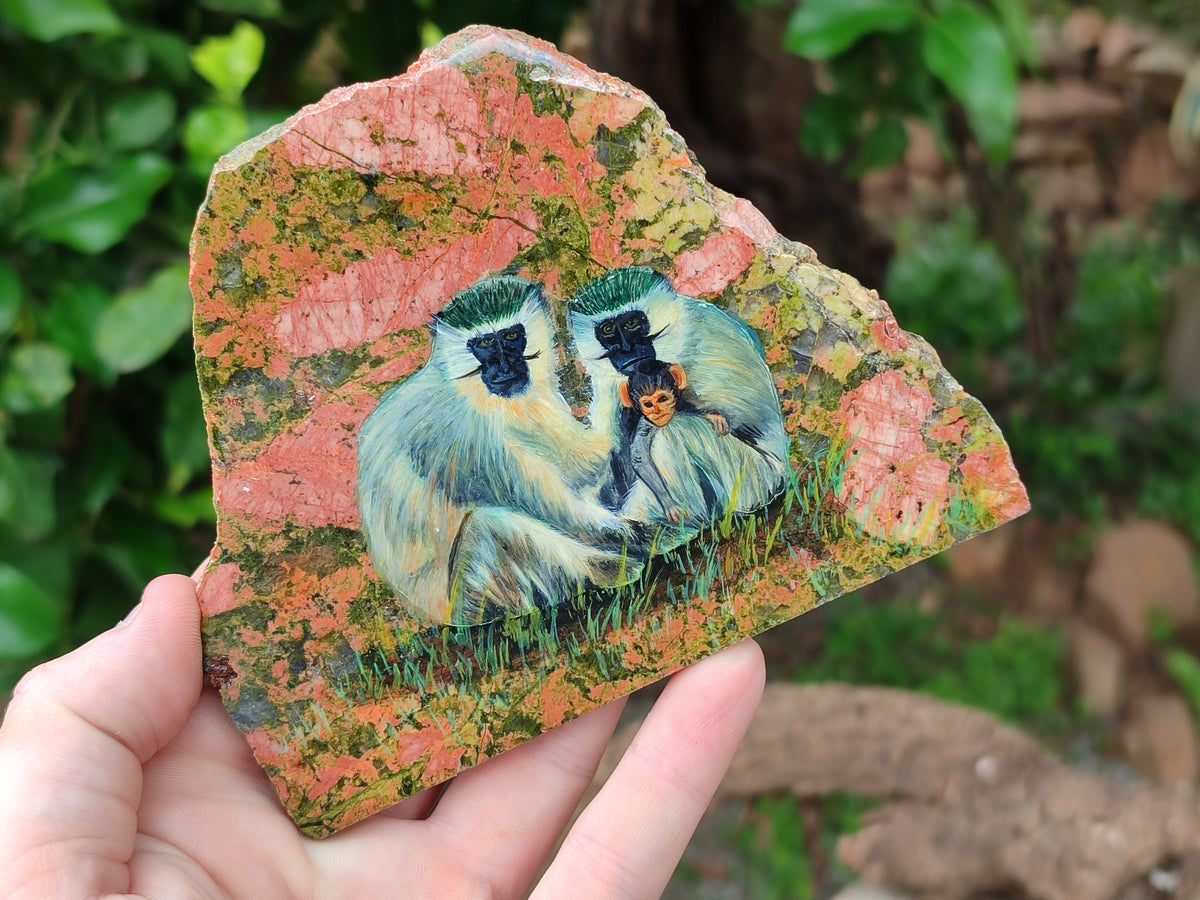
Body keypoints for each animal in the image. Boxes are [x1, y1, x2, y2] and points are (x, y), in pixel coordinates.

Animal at [356, 275, 637, 626]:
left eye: (512, 336)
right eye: (485, 344)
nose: (504, 367)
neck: (467, 387)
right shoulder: (469, 435)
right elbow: (564, 503)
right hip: (471, 600)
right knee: (488, 527)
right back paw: (614, 571)